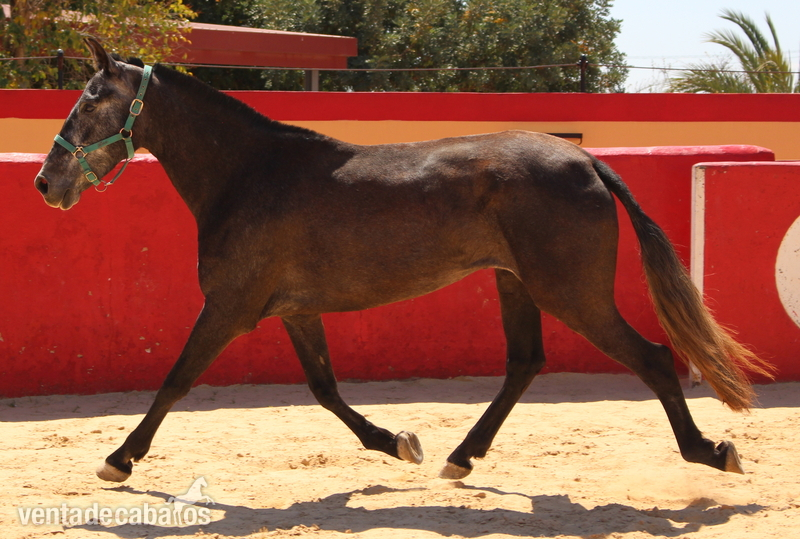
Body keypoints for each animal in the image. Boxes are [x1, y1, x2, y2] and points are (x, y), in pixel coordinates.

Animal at [34, 38, 772, 485]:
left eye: (92, 100)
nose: (46, 182)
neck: (248, 175)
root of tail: (586, 158)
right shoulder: (294, 311)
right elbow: (326, 389)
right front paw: (397, 442)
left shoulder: (230, 307)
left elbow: (175, 381)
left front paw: (119, 459)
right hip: (516, 283)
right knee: (525, 363)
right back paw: (459, 457)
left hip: (572, 292)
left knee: (652, 356)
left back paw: (709, 450)